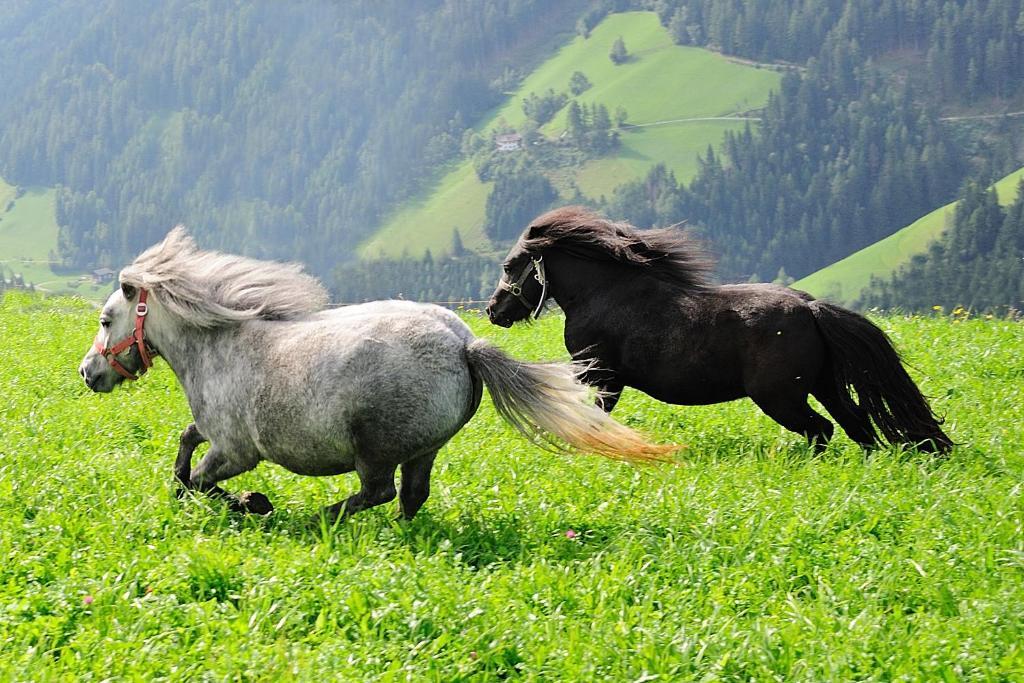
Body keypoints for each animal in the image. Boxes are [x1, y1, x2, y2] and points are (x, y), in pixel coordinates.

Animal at [79, 228, 671, 518]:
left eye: (106, 320)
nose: (88, 373)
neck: (219, 344)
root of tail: (465, 345)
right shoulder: (213, 432)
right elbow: (184, 452)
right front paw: (202, 497)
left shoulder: (236, 450)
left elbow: (202, 481)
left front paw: (255, 505)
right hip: (424, 450)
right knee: (410, 499)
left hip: (375, 449)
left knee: (377, 493)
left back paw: (319, 519)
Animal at [485, 208, 950, 454]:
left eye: (510, 265)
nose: (493, 311)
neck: (603, 292)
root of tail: (811, 308)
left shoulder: (599, 373)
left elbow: (592, 413)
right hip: (823, 385)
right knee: (857, 424)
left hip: (780, 396)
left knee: (823, 429)